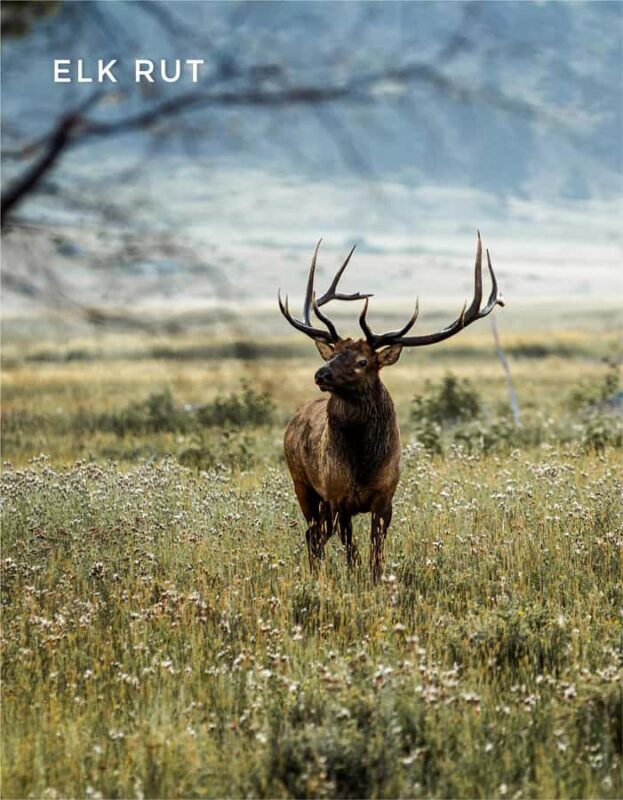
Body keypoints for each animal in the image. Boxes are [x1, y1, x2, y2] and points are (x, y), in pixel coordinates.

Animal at [278, 233, 503, 582]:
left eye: (362, 361)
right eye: (332, 353)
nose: (321, 374)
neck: (363, 463)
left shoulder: (385, 497)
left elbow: (375, 553)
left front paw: (375, 581)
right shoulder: (337, 496)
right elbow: (347, 549)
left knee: (320, 536)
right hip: (303, 484)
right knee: (313, 535)